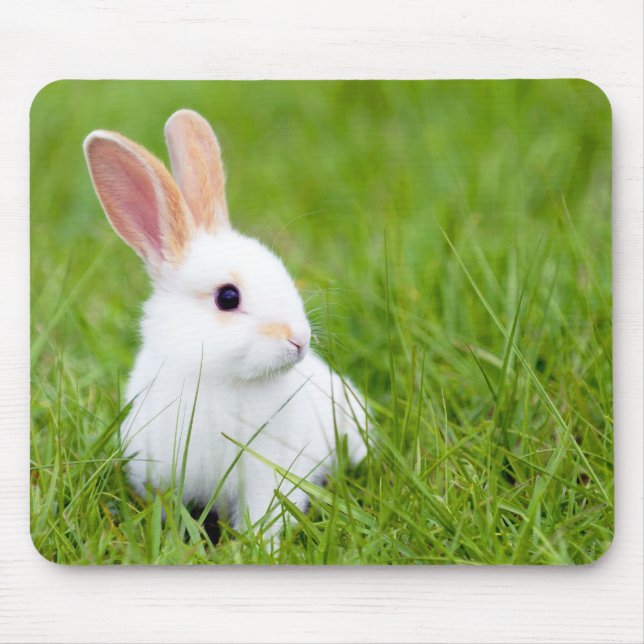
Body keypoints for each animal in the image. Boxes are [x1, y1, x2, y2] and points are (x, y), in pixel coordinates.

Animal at [83, 109, 367, 546]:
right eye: (228, 298)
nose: (298, 340)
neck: (216, 379)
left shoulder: (267, 472)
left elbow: (264, 514)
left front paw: (260, 547)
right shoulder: (159, 472)